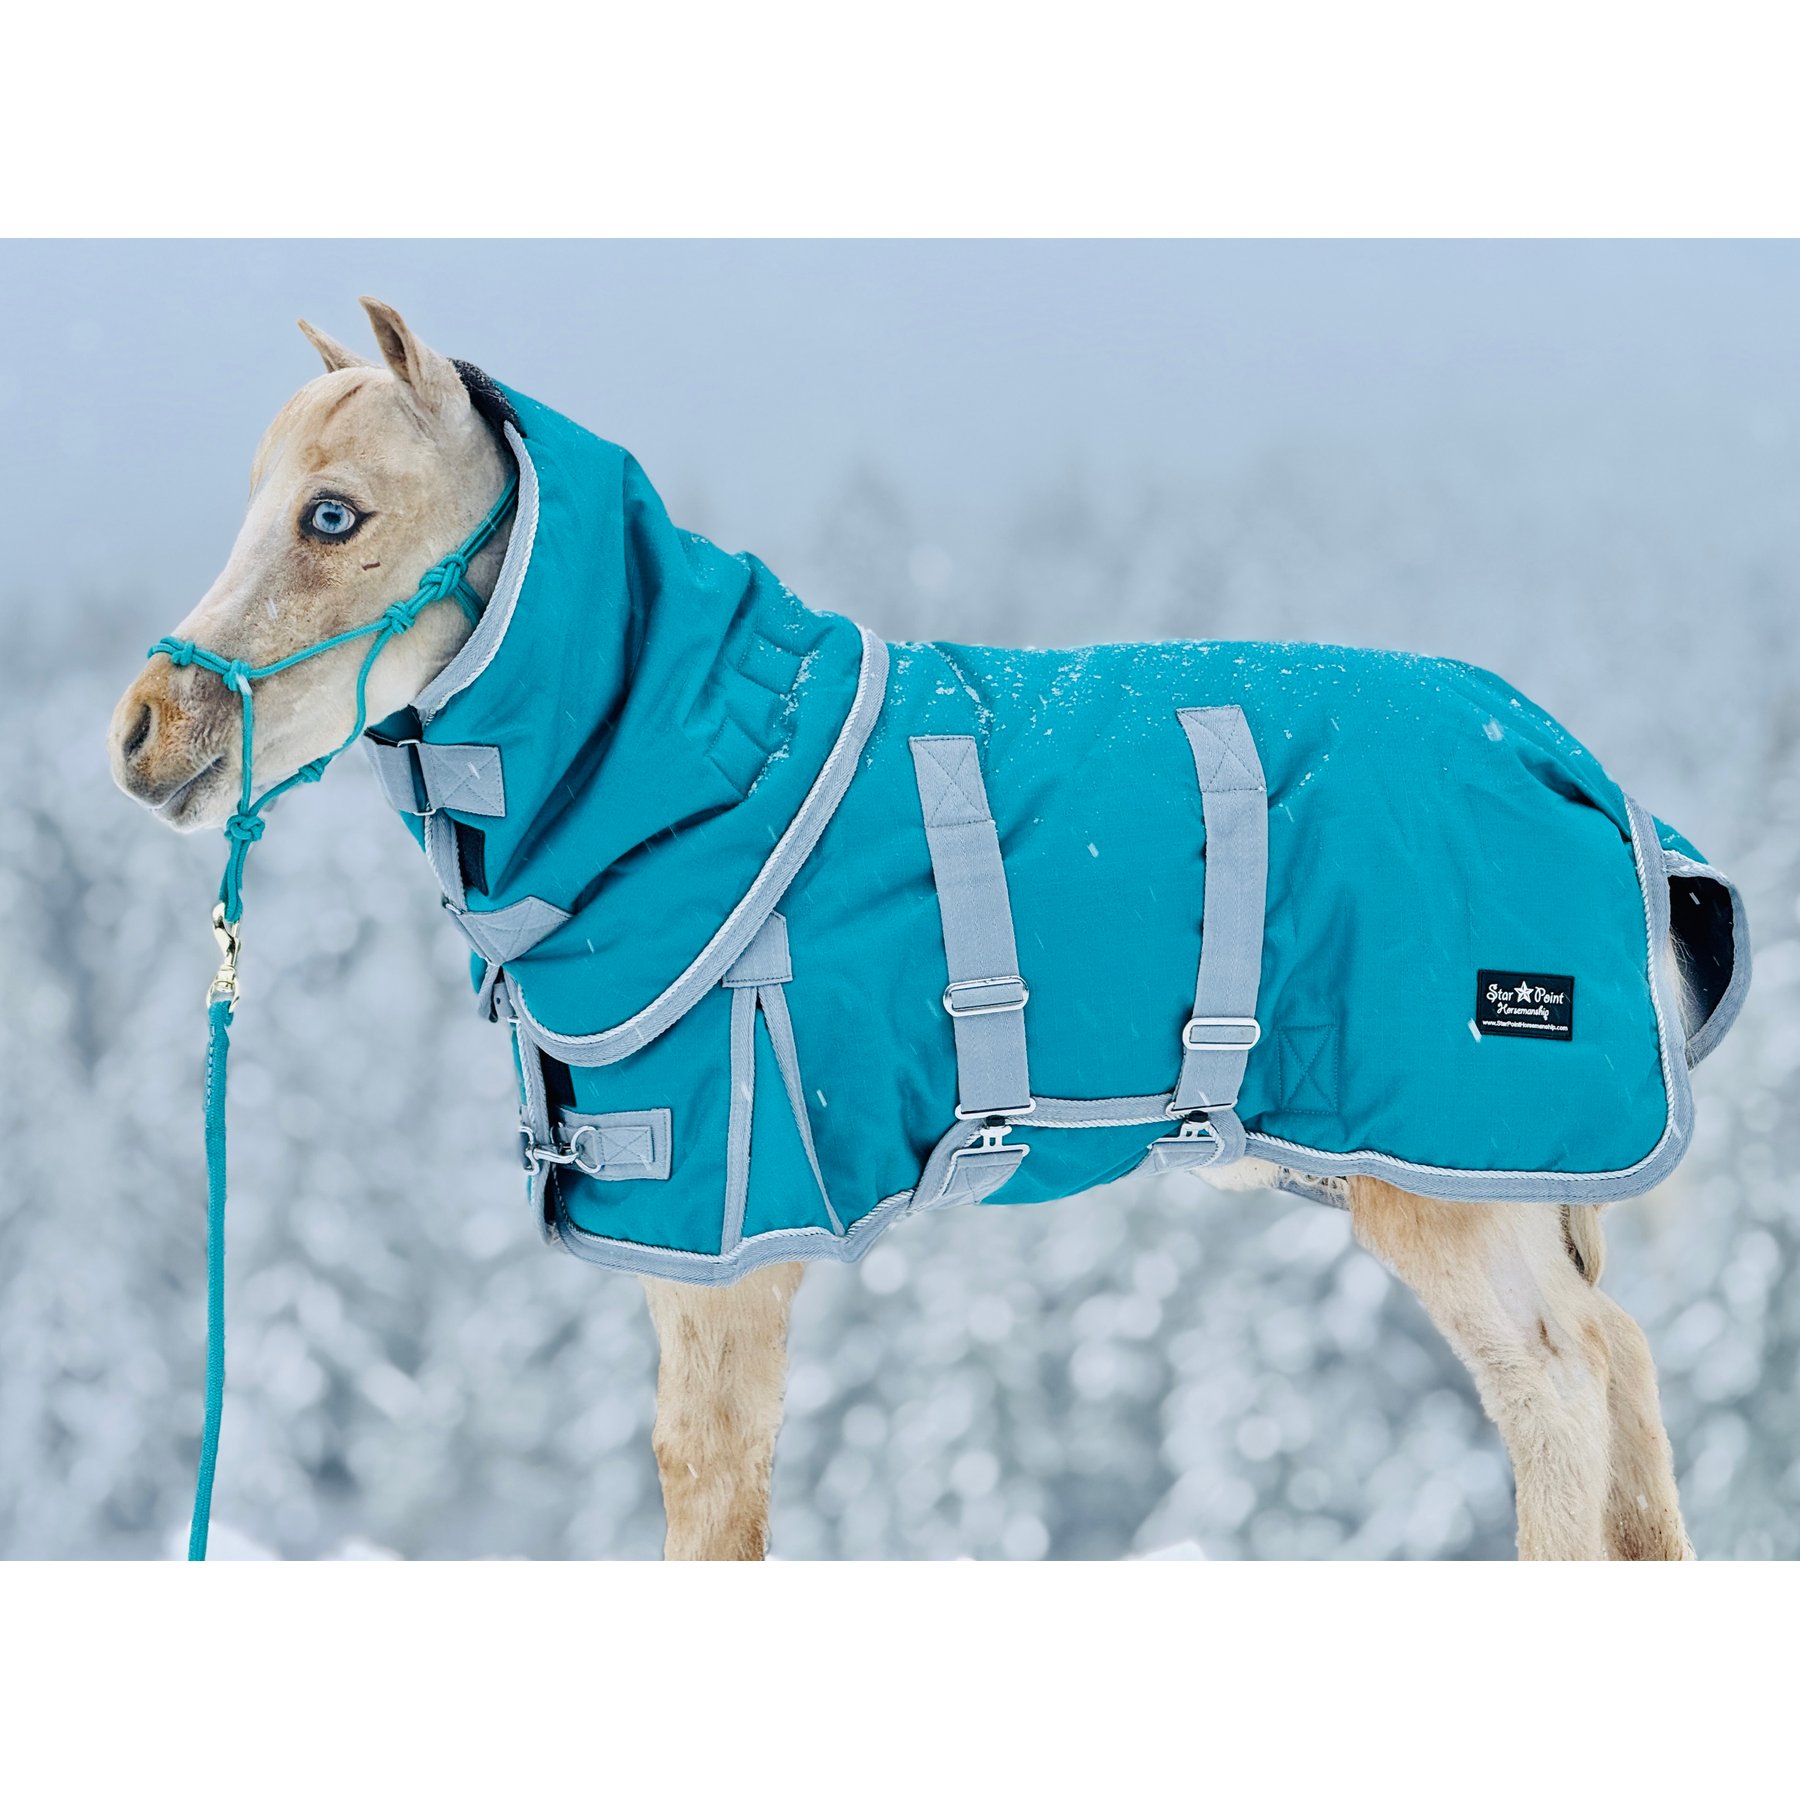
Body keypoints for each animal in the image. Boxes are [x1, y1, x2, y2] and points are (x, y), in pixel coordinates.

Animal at [109, 297, 1697, 1560]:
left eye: (334, 514)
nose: (142, 730)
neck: (676, 767)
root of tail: (1581, 771)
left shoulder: (729, 1244)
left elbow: (711, 1493)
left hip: (1458, 1178)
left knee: (1558, 1384)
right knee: (1623, 1373)